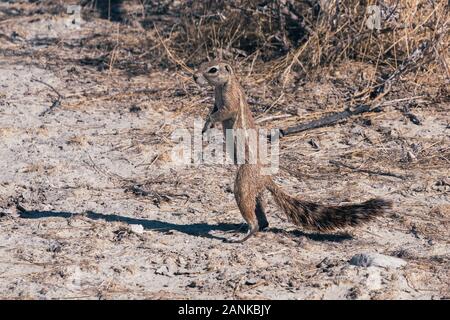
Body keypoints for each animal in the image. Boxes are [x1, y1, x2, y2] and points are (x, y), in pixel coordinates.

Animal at [193, 60, 394, 242]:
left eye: (212, 69)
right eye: (203, 63)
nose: (195, 76)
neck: (223, 86)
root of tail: (267, 178)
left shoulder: (230, 101)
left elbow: (222, 113)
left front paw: (208, 123)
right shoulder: (216, 102)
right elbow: (213, 111)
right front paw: (205, 126)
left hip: (243, 182)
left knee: (252, 215)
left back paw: (244, 235)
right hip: (255, 190)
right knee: (262, 216)